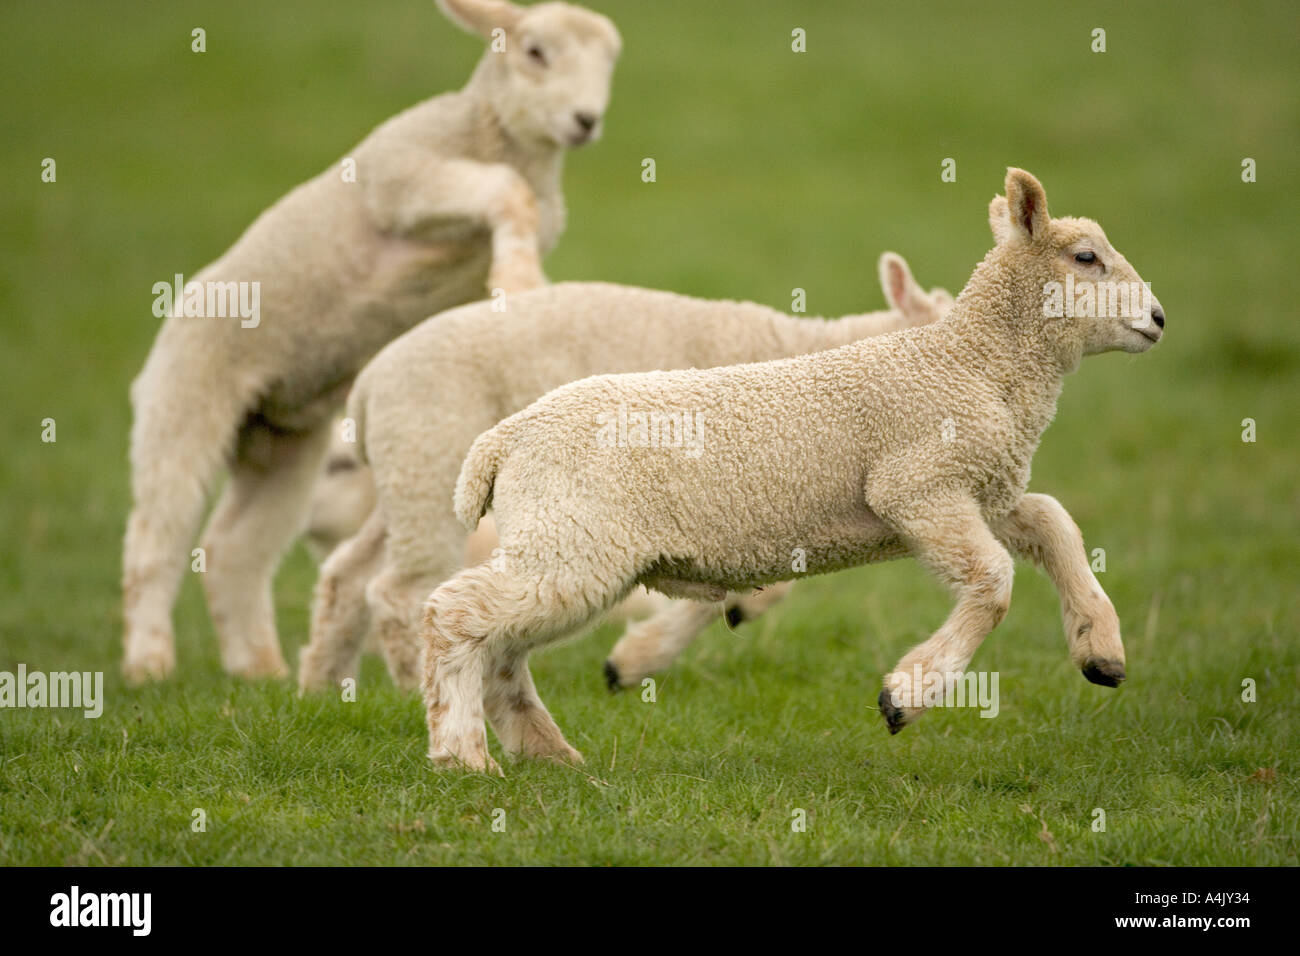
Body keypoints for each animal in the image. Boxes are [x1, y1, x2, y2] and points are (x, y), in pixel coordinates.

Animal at [120, 1, 618, 686]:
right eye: (535, 52)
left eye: (609, 62)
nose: (585, 121)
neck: (499, 139)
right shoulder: (402, 180)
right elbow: (501, 190)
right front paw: (521, 281)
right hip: (185, 398)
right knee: (155, 538)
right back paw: (148, 662)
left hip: (284, 444)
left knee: (233, 550)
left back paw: (261, 668)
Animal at [295, 251, 951, 691]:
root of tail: (369, 384)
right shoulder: (737, 501)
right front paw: (634, 661)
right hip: (427, 461)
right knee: (398, 588)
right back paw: (414, 684)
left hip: (406, 477)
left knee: (347, 574)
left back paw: (323, 688)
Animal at [418, 167, 1170, 775]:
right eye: (1086, 257)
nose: (1159, 319)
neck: (973, 363)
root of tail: (502, 441)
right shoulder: (917, 484)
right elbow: (994, 582)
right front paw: (905, 695)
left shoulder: (984, 485)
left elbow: (1053, 523)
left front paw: (1101, 652)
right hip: (571, 544)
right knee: (454, 616)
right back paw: (463, 757)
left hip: (561, 541)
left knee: (503, 650)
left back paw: (548, 753)